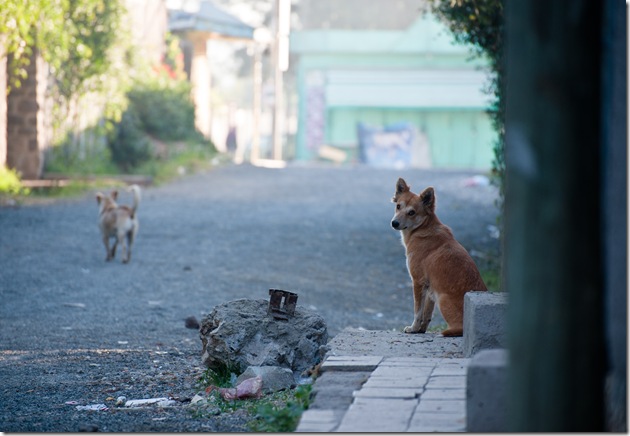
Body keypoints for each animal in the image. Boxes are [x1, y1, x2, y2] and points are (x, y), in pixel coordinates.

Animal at [390, 177, 488, 338]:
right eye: (398, 206)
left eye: (411, 212)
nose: (394, 223)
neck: (422, 228)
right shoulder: (431, 288)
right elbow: (427, 314)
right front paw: (421, 330)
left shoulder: (418, 282)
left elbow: (418, 311)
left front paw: (413, 328)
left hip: (442, 299)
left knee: (459, 329)